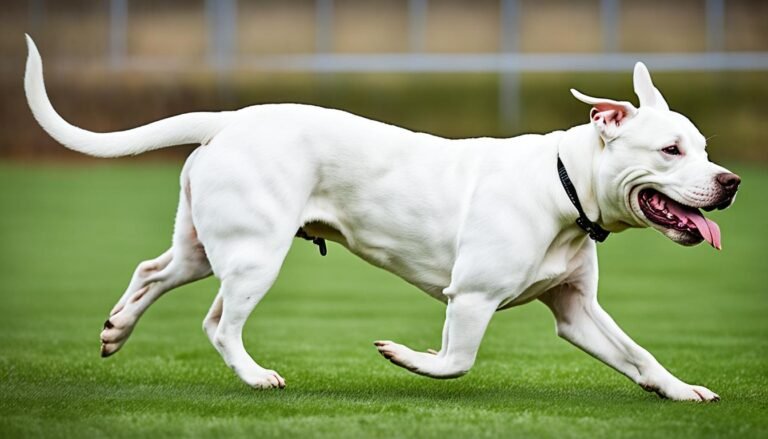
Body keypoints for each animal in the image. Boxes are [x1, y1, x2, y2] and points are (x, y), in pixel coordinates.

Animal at [27, 37, 740, 402]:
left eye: (704, 148)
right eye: (671, 151)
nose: (731, 182)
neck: (564, 188)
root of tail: (230, 119)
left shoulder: (576, 310)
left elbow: (638, 353)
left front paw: (680, 390)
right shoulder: (471, 298)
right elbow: (455, 362)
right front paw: (404, 356)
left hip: (205, 245)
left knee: (152, 271)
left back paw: (117, 330)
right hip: (256, 255)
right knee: (218, 323)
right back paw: (255, 376)